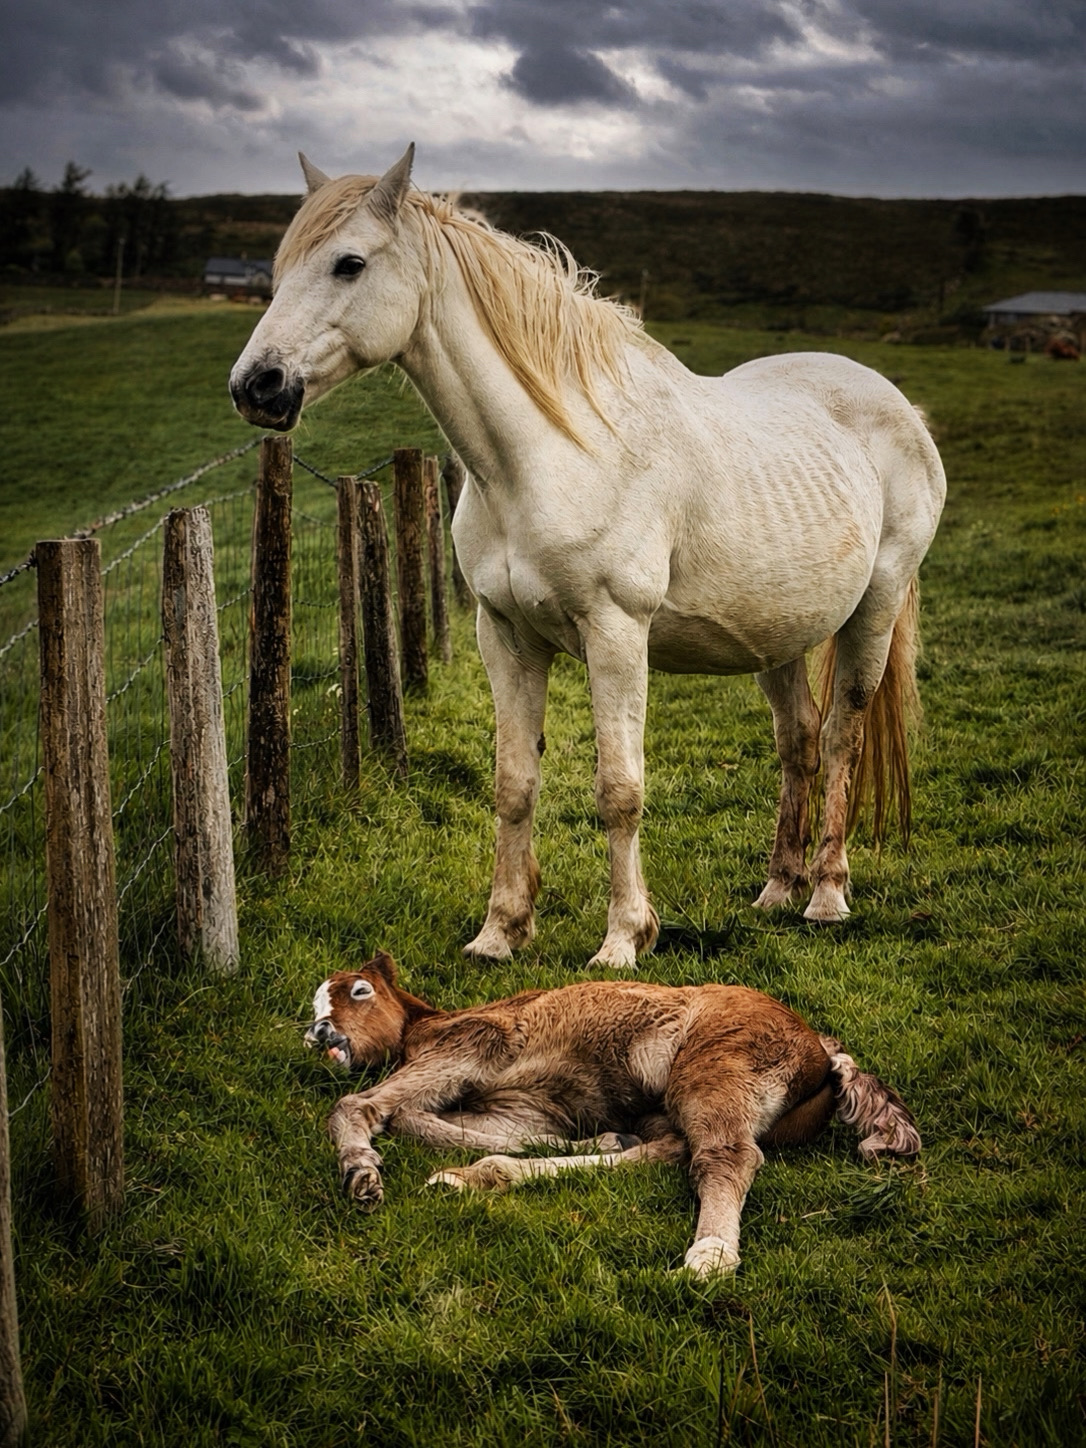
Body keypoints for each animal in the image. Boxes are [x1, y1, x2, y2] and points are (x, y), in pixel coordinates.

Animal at [231, 146, 947, 968]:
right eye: (280, 268)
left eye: (349, 263)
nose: (257, 385)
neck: (550, 454)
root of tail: (898, 406)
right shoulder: (504, 635)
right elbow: (514, 782)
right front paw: (500, 932)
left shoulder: (616, 634)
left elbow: (619, 790)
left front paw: (624, 939)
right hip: (780, 634)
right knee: (797, 740)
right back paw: (777, 888)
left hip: (874, 610)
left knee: (839, 739)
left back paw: (826, 895)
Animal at [305, 951, 921, 1277]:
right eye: (313, 1003)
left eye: (358, 990)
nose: (319, 1033)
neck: (427, 1026)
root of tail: (822, 1050)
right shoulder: (516, 1110)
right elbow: (428, 1122)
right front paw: (591, 1142)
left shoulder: (468, 1049)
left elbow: (369, 1107)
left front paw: (361, 1173)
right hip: (677, 1101)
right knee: (672, 1149)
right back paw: (489, 1175)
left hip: (714, 1071)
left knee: (726, 1156)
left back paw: (710, 1256)